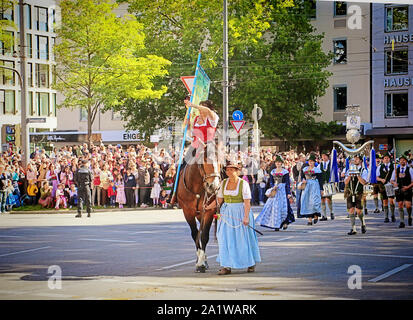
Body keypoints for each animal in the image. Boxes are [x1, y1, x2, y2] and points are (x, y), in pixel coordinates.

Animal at [175, 144, 220, 272]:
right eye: (204, 160)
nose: (214, 186)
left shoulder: (209, 211)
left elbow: (204, 235)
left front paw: (201, 263)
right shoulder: (187, 212)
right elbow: (195, 234)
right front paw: (199, 262)